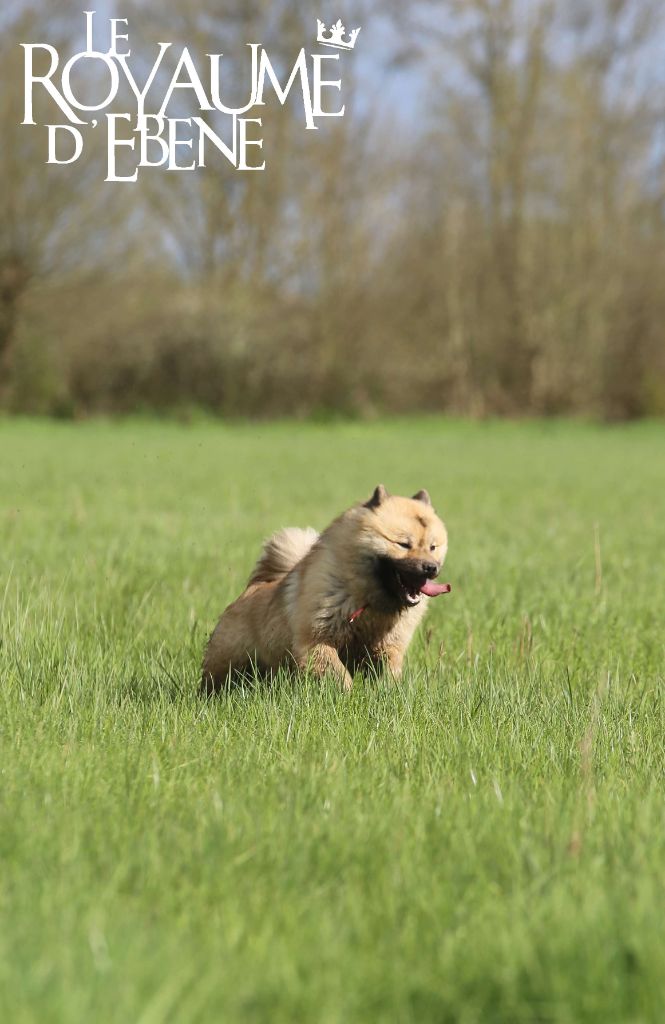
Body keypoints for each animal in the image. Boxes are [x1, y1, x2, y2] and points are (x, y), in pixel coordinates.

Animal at [200, 483, 450, 692]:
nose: (431, 568)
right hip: (230, 661)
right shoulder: (316, 641)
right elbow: (338, 672)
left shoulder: (388, 647)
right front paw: (349, 693)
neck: (368, 601)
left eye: (433, 547)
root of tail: (253, 587)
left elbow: (388, 672)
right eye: (403, 544)